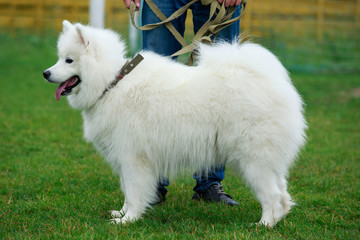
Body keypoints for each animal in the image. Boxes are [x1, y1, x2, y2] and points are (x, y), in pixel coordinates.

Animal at [43, 20, 306, 227]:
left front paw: (128, 220)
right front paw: (122, 213)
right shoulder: (124, 158)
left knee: (272, 195)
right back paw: (276, 219)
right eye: (60, 58)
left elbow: (134, 192)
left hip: (252, 159)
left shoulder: (134, 158)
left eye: (69, 60)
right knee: (282, 194)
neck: (112, 83)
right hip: (268, 159)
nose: (46, 73)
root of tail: (272, 83)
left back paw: (263, 225)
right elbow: (127, 191)